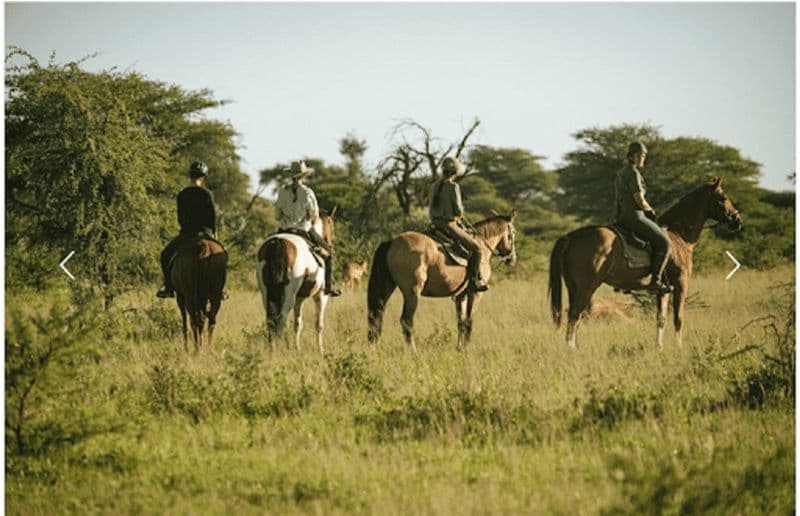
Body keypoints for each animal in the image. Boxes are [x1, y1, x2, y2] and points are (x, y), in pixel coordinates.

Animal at [256, 209, 336, 352]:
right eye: (331, 226)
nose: (331, 242)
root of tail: (277, 243)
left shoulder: (299, 298)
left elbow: (298, 324)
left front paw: (297, 348)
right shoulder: (321, 295)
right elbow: (318, 324)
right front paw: (320, 349)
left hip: (266, 293)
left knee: (270, 319)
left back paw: (272, 348)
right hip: (289, 295)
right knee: (281, 319)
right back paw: (279, 348)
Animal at [367, 210, 517, 352]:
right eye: (513, 233)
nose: (512, 258)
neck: (483, 245)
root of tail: (392, 242)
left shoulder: (460, 296)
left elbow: (461, 322)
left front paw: (459, 348)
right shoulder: (475, 293)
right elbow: (469, 321)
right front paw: (466, 348)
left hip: (387, 288)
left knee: (376, 318)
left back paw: (374, 350)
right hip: (412, 292)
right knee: (406, 321)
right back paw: (414, 353)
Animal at [548, 177, 742, 349]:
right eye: (723, 197)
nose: (737, 220)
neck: (678, 235)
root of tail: (571, 237)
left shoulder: (663, 290)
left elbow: (661, 319)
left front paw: (659, 347)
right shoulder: (681, 283)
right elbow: (678, 318)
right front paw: (679, 348)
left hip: (574, 287)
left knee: (574, 316)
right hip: (587, 287)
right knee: (574, 315)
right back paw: (571, 349)